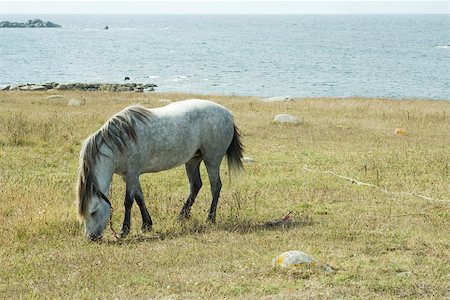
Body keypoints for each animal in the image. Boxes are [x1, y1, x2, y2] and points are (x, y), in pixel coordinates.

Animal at [76, 99, 244, 240]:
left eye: (93, 211)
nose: (91, 238)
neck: (119, 143)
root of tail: (228, 114)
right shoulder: (129, 176)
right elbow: (140, 198)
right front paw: (146, 225)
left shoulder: (131, 174)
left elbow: (129, 201)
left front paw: (125, 230)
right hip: (193, 160)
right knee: (195, 185)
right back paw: (181, 216)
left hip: (212, 159)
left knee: (215, 186)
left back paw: (210, 218)